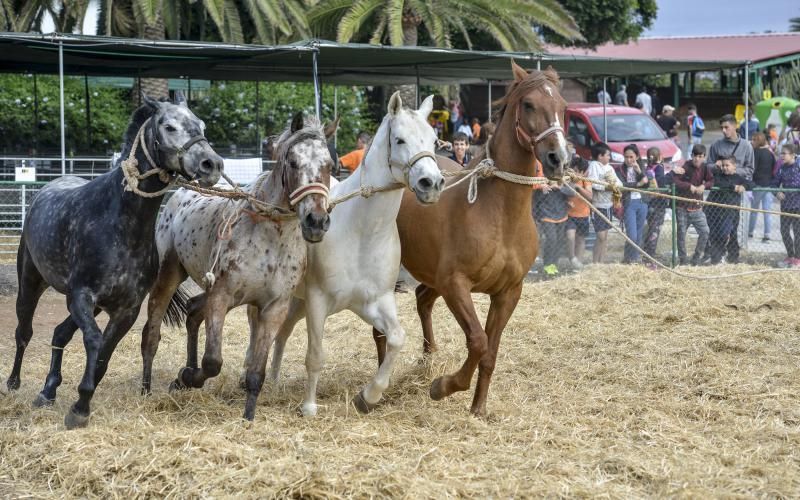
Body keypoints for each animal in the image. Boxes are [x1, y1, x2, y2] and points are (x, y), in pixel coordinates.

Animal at [6, 94, 222, 430]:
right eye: (169, 126)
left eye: (201, 125)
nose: (211, 164)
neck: (119, 222)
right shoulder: (81, 296)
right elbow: (94, 342)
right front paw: (80, 407)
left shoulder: (125, 309)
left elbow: (104, 355)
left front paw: (81, 404)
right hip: (30, 283)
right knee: (23, 333)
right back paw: (14, 384)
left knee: (60, 333)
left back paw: (48, 390)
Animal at [268, 92, 444, 416]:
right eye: (399, 139)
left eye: (434, 140)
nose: (432, 183)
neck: (361, 233)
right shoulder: (317, 301)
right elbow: (315, 355)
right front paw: (309, 406)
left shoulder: (374, 301)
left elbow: (397, 338)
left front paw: (368, 396)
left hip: (297, 303)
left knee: (282, 333)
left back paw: (272, 380)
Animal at [376, 62, 568, 416]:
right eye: (529, 104)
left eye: (562, 106)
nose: (557, 159)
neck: (499, 214)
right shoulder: (456, 284)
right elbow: (477, 341)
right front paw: (443, 387)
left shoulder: (508, 293)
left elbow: (490, 352)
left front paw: (477, 409)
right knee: (381, 328)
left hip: (430, 274)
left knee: (423, 300)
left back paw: (428, 358)